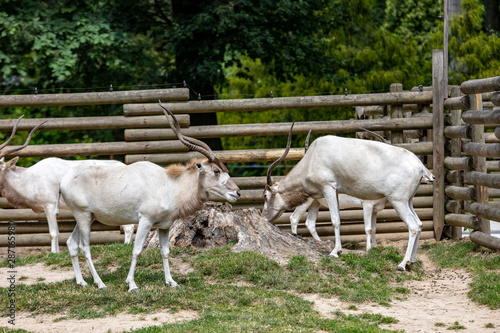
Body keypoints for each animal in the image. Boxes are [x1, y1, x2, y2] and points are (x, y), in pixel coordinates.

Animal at [60, 102, 240, 290]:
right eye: (216, 171)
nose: (237, 192)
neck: (168, 185)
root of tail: (64, 179)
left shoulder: (164, 226)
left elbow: (165, 251)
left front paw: (171, 281)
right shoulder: (145, 220)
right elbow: (137, 250)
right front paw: (131, 284)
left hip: (88, 217)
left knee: (72, 244)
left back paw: (81, 282)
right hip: (83, 216)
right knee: (84, 247)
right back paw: (100, 283)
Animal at [262, 123, 434, 272]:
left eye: (265, 195)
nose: (264, 217)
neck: (312, 157)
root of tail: (421, 167)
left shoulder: (329, 188)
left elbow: (336, 220)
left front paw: (334, 252)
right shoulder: (337, 193)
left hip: (398, 201)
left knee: (413, 226)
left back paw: (402, 264)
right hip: (408, 201)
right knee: (419, 224)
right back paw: (412, 260)